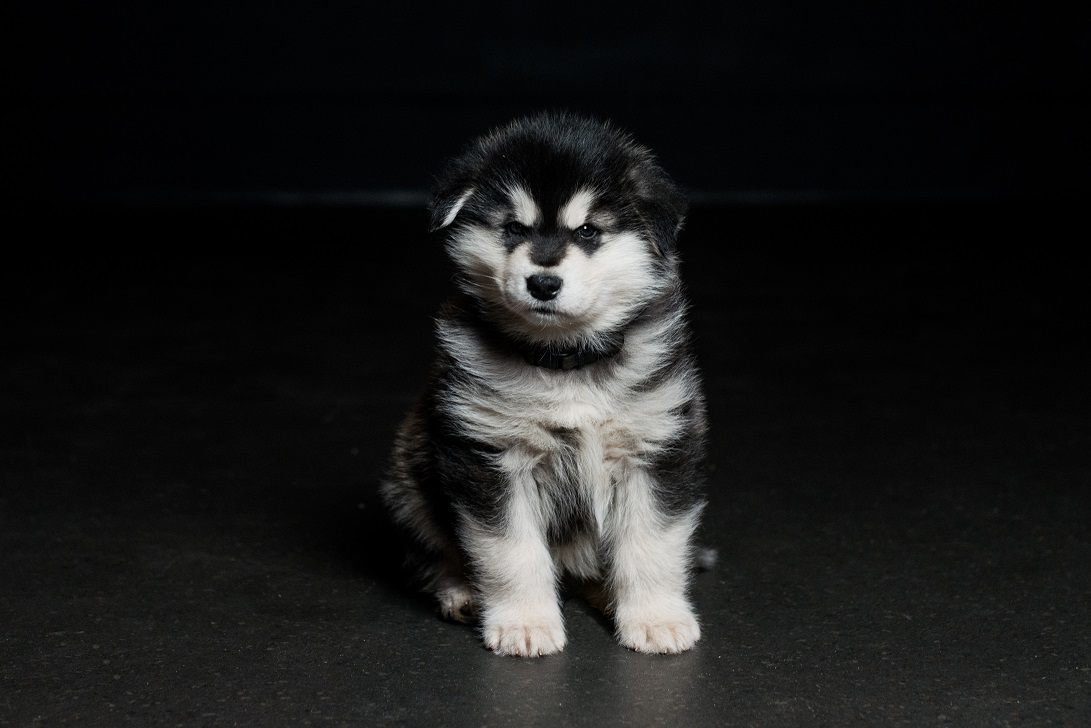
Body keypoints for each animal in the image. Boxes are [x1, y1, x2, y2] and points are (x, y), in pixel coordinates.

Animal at [380, 112, 708, 656]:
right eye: (514, 228)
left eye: (589, 231)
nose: (543, 283)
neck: (564, 363)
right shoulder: (491, 455)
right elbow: (509, 549)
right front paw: (524, 623)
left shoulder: (655, 447)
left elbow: (652, 544)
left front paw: (656, 618)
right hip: (410, 481)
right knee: (433, 553)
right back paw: (460, 591)